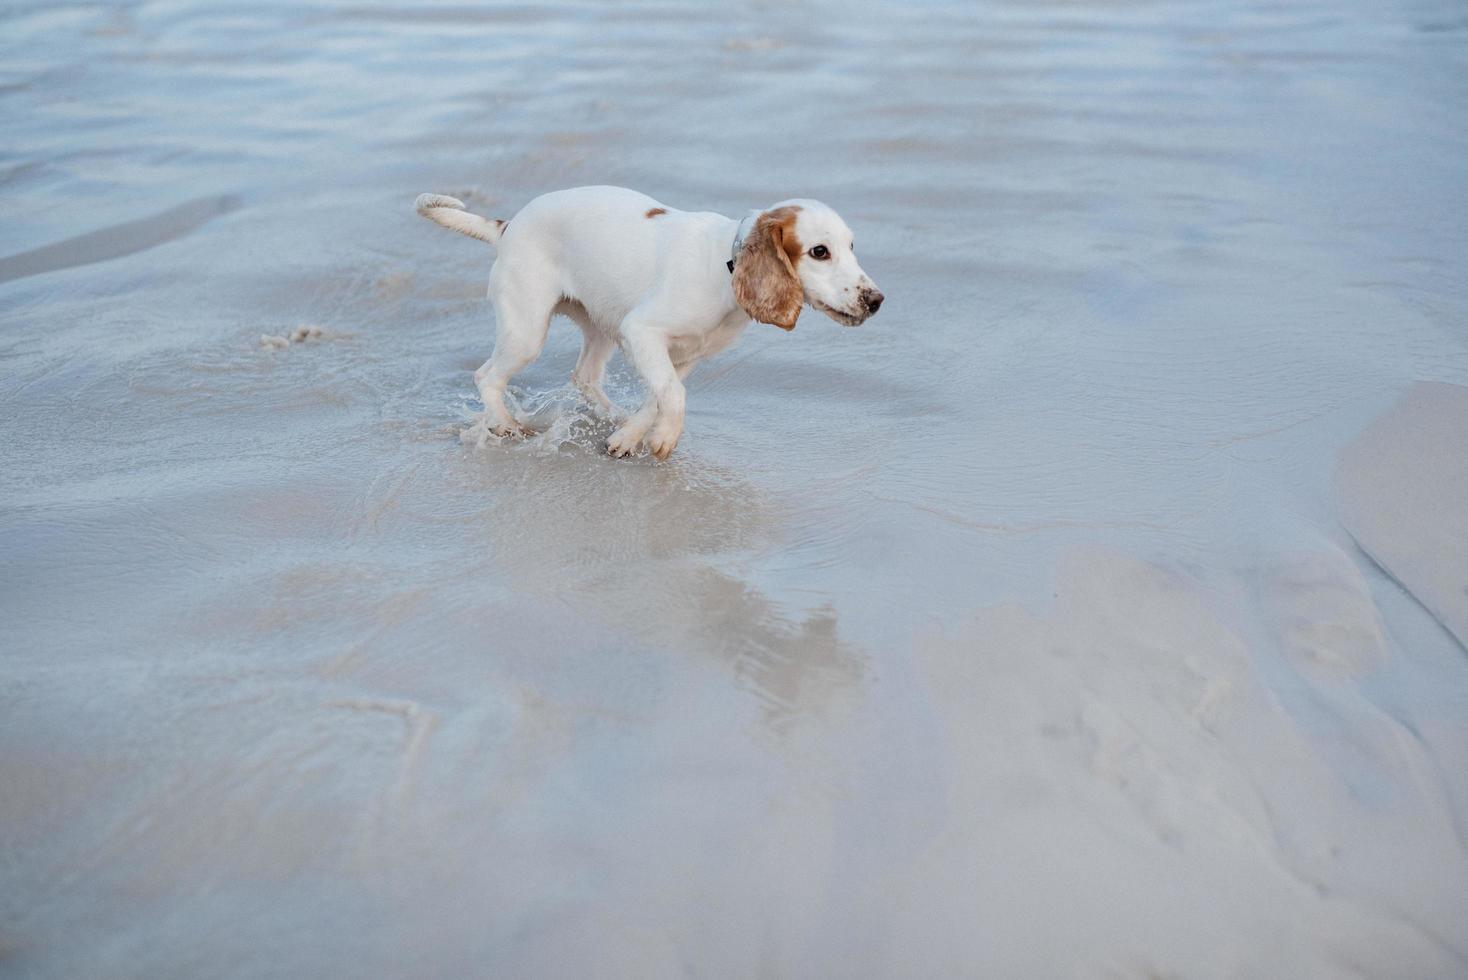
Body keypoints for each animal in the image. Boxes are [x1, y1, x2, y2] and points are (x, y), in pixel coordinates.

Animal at [411, 186, 880, 460]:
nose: (876, 301)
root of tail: (508, 227)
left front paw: (627, 438)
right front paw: (663, 438)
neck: (724, 268)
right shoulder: (642, 332)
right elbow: (672, 395)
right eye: (819, 252)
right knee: (486, 375)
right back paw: (505, 424)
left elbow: (660, 395)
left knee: (584, 377)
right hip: (527, 330)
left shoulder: (686, 354)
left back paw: (612, 418)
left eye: (852, 247)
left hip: (601, 323)